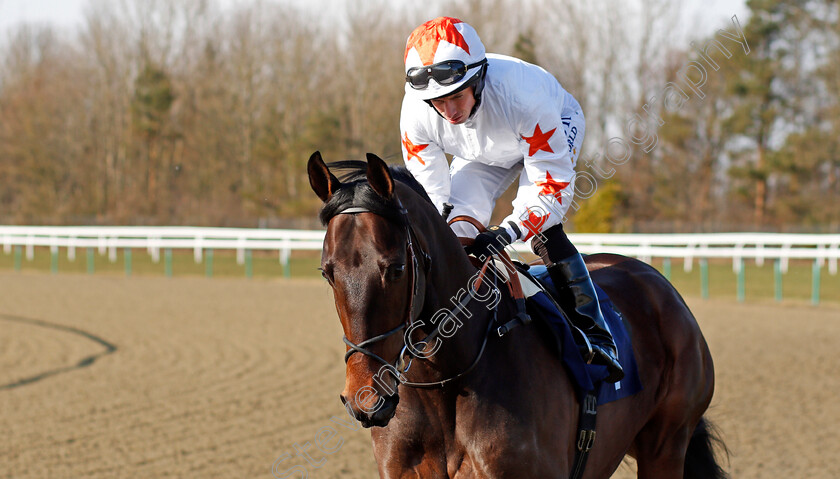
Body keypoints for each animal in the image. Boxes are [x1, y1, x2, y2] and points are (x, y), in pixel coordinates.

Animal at [306, 151, 724, 479]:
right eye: (327, 272)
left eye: (394, 268)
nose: (364, 399)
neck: (445, 383)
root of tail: (658, 283)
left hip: (666, 445)